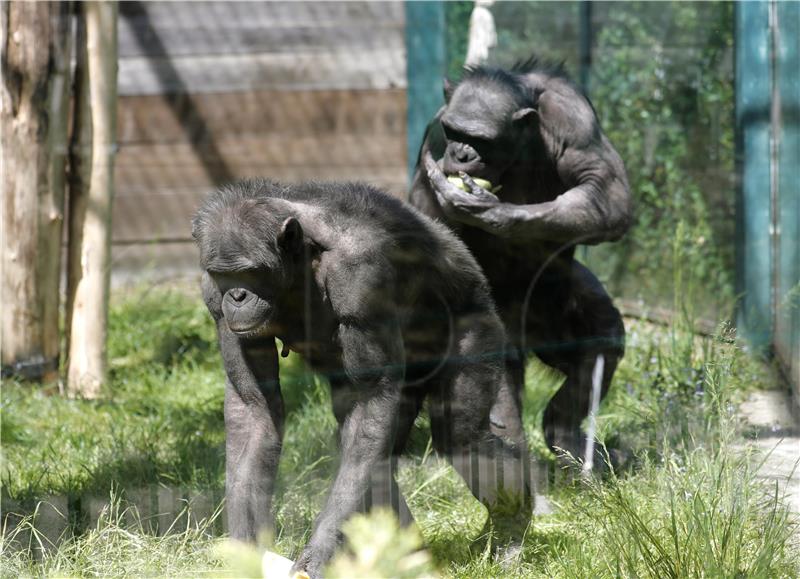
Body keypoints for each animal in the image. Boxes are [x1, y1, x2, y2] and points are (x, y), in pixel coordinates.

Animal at [191, 179, 536, 576]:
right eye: (223, 275)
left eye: (250, 272)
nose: (237, 295)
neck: (300, 263)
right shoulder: (214, 301)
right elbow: (254, 409)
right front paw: (245, 552)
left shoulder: (362, 280)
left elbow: (372, 400)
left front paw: (315, 557)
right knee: (372, 451)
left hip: (477, 326)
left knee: (460, 436)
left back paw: (511, 530)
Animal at [410, 57, 636, 466]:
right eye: (453, 131)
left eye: (480, 139)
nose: (461, 153)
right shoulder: (433, 138)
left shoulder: (574, 118)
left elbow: (605, 190)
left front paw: (494, 213)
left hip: (554, 311)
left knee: (602, 338)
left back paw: (566, 437)